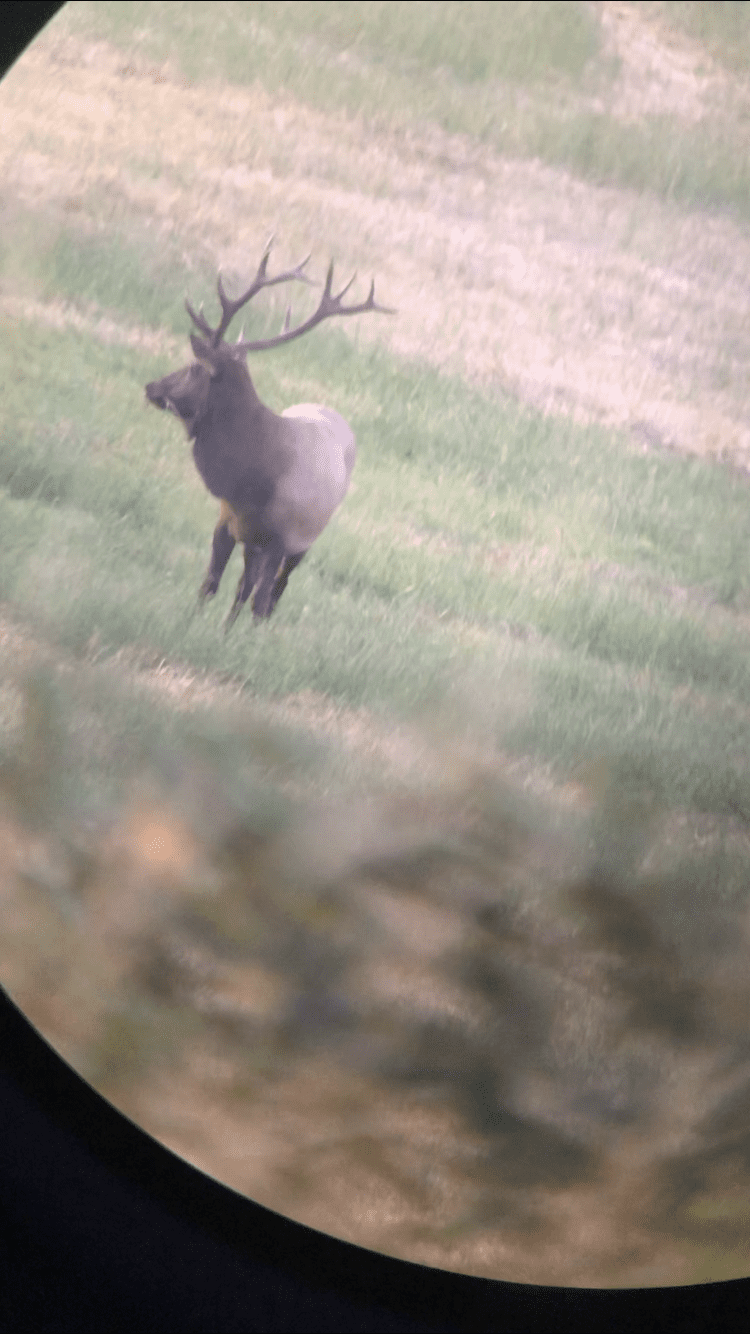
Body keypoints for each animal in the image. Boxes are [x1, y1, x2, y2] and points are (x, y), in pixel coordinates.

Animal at [145, 241, 393, 629]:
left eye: (194, 368)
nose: (151, 387)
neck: (254, 482)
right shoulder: (228, 521)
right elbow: (210, 583)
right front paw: (191, 624)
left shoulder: (283, 539)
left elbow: (259, 601)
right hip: (254, 543)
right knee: (244, 586)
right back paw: (228, 628)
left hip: (301, 545)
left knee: (270, 594)